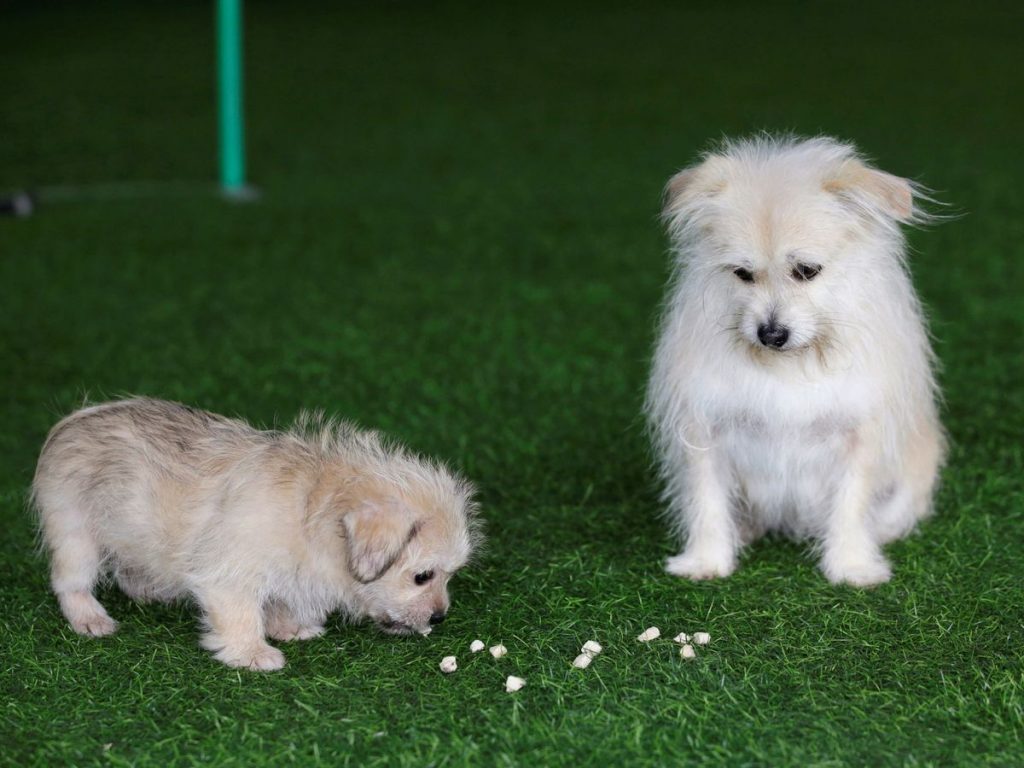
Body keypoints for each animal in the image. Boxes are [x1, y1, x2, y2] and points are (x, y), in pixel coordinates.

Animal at [30, 399, 479, 671]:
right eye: (422, 576)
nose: (440, 616)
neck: (314, 506)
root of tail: (70, 423)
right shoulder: (228, 578)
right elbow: (242, 616)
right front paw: (253, 653)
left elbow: (279, 598)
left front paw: (289, 627)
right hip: (75, 534)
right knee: (69, 582)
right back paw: (89, 618)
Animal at [647, 135, 942, 585]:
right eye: (742, 273)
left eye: (806, 270)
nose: (771, 334)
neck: (790, 366)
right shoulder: (704, 431)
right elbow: (707, 502)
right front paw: (706, 562)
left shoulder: (860, 437)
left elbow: (851, 504)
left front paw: (851, 566)